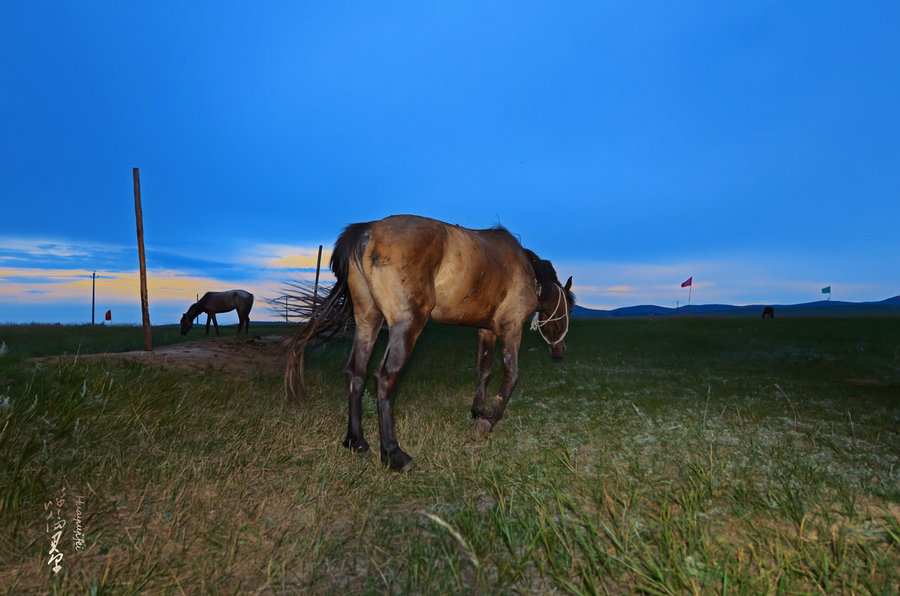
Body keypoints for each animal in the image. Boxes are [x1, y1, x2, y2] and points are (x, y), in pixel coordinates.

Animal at [284, 214, 572, 470]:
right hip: (408, 325)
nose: (560, 351)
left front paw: (478, 411)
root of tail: (368, 230)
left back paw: (357, 442)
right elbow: (511, 375)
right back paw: (394, 454)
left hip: (368, 319)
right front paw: (488, 421)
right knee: (385, 377)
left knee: (356, 372)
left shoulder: (486, 330)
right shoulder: (511, 328)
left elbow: (484, 371)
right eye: (568, 309)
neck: (528, 271)